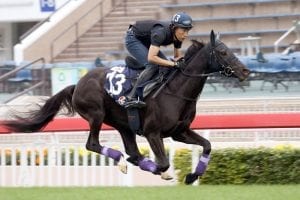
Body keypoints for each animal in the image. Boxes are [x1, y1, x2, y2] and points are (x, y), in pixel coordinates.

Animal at [3, 30, 250, 184]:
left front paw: (192, 176)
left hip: (124, 125)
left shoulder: (179, 132)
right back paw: (121, 161)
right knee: (94, 144)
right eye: (223, 52)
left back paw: (130, 160)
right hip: (96, 114)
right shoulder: (152, 132)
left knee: (131, 151)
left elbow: (207, 145)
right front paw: (164, 173)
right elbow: (162, 163)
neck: (177, 91)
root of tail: (77, 84)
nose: (246, 71)